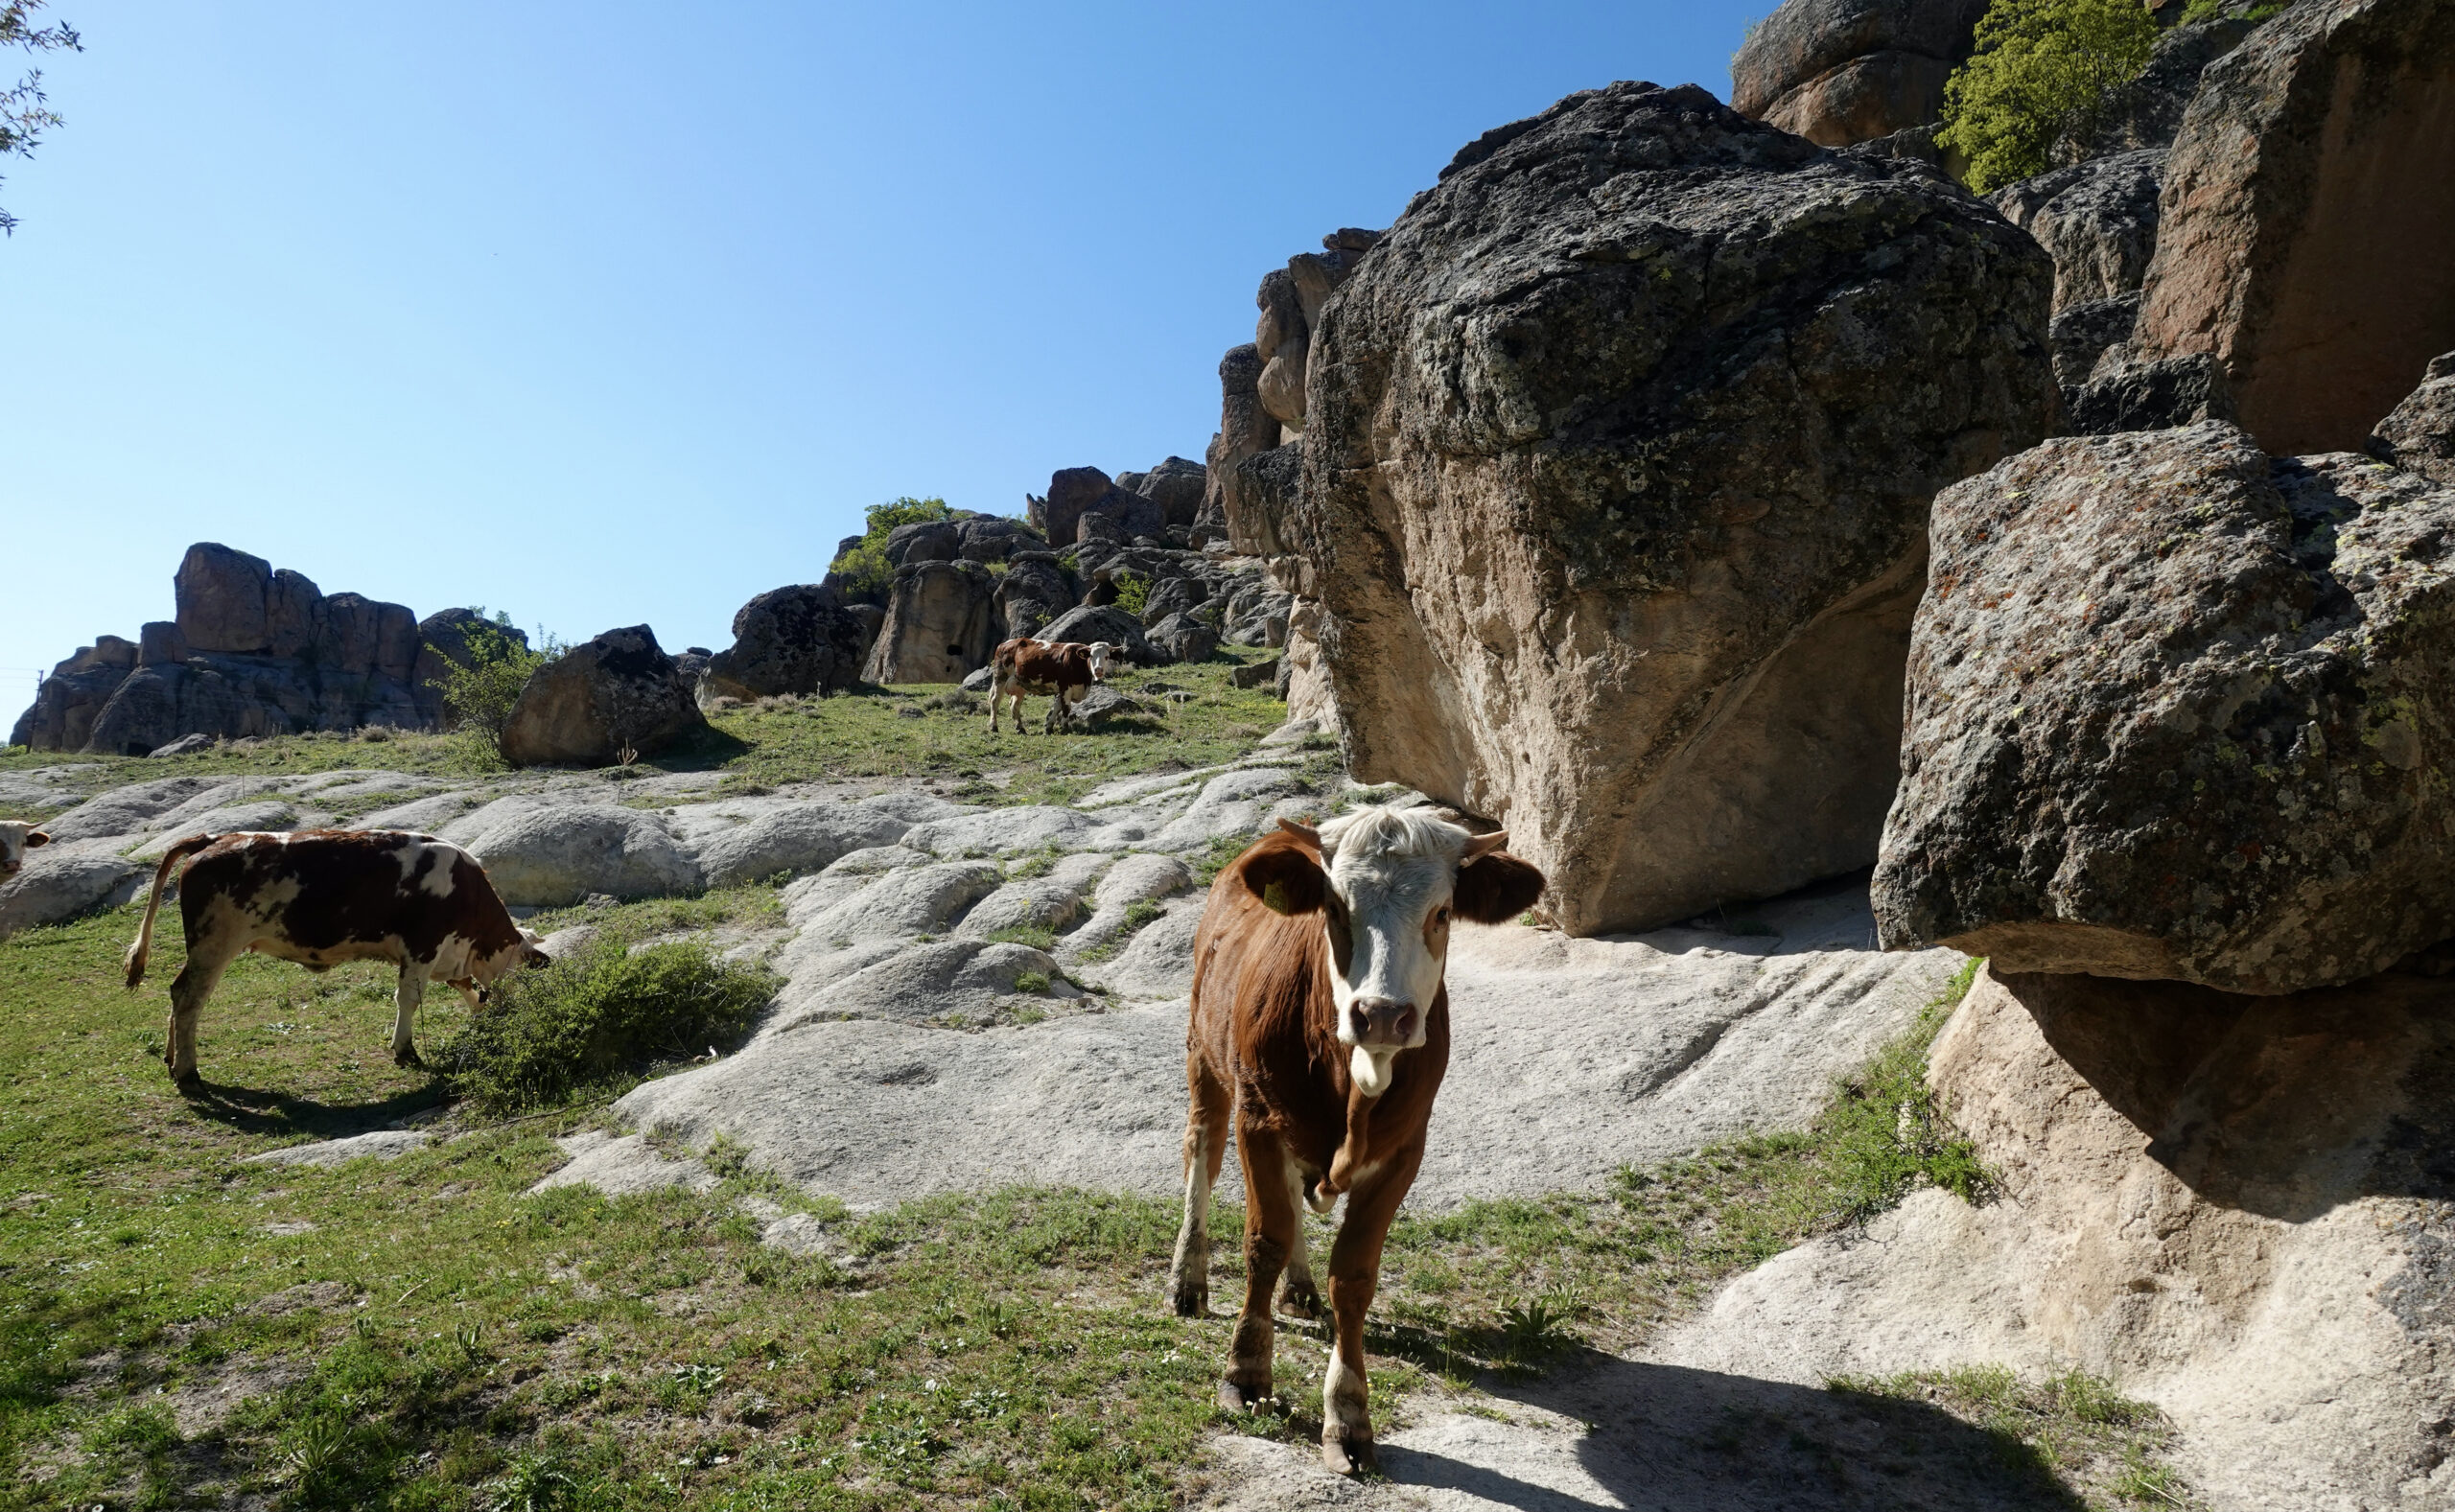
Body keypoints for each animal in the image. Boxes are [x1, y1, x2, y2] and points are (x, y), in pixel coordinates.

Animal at [123, 825, 547, 1084]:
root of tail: (213, 839)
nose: (517, 1016)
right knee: (189, 998)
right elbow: (409, 999)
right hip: (214, 944)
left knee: (176, 993)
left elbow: (467, 990)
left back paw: (171, 1058)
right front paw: (405, 1050)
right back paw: (187, 1069)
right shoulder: (422, 946)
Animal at [987, 633, 1124, 736]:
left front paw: (1049, 727)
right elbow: (1066, 708)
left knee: (1014, 705)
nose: (1098, 670)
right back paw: (994, 726)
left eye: (1107, 657)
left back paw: (1021, 728)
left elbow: (1057, 707)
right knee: (995, 700)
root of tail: (1005, 643)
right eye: (1091, 655)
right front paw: (1065, 728)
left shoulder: (1063, 690)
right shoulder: (1065, 687)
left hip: (1020, 684)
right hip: (1000, 677)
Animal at [1163, 809, 1531, 1473]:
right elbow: (1263, 1240)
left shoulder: (1404, 1151)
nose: (1381, 1014)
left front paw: (1349, 1416)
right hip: (1204, 1056)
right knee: (1201, 1152)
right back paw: (1187, 1280)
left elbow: (1354, 1276)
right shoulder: (1257, 1120)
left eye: (1442, 913)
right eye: (1335, 908)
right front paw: (1246, 1372)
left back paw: (1301, 1288)